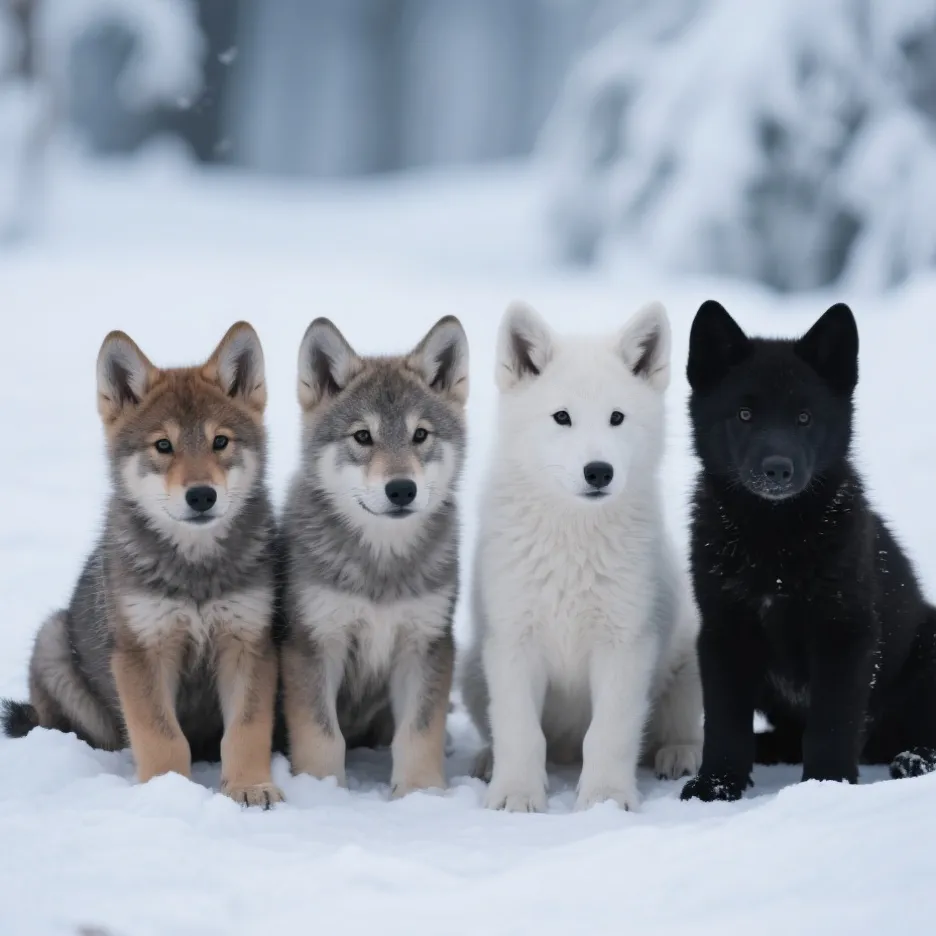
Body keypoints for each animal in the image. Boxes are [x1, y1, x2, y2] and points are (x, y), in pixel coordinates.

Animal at [1, 323, 282, 807]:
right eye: (163, 446)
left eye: (220, 441)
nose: (201, 495)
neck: (194, 570)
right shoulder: (142, 652)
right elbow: (161, 736)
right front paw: (169, 793)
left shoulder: (247, 643)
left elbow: (246, 731)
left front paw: (250, 786)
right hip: (53, 640)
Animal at [277, 315, 468, 797]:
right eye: (363, 436)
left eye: (420, 435)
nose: (401, 489)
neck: (382, 565)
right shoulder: (314, 642)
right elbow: (322, 734)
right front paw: (322, 790)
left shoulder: (425, 644)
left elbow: (419, 732)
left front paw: (420, 794)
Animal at [460, 301, 703, 813]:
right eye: (561, 417)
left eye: (617, 417)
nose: (599, 472)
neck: (573, 538)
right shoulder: (514, 644)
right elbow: (519, 731)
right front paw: (516, 794)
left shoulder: (623, 646)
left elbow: (608, 735)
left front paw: (605, 799)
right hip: (473, 667)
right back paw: (488, 762)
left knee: (678, 729)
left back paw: (679, 754)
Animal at [681, 300, 936, 803]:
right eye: (744, 414)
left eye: (804, 418)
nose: (777, 470)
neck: (774, 543)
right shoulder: (723, 634)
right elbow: (725, 723)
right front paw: (715, 785)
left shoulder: (846, 635)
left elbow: (831, 723)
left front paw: (827, 785)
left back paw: (915, 759)